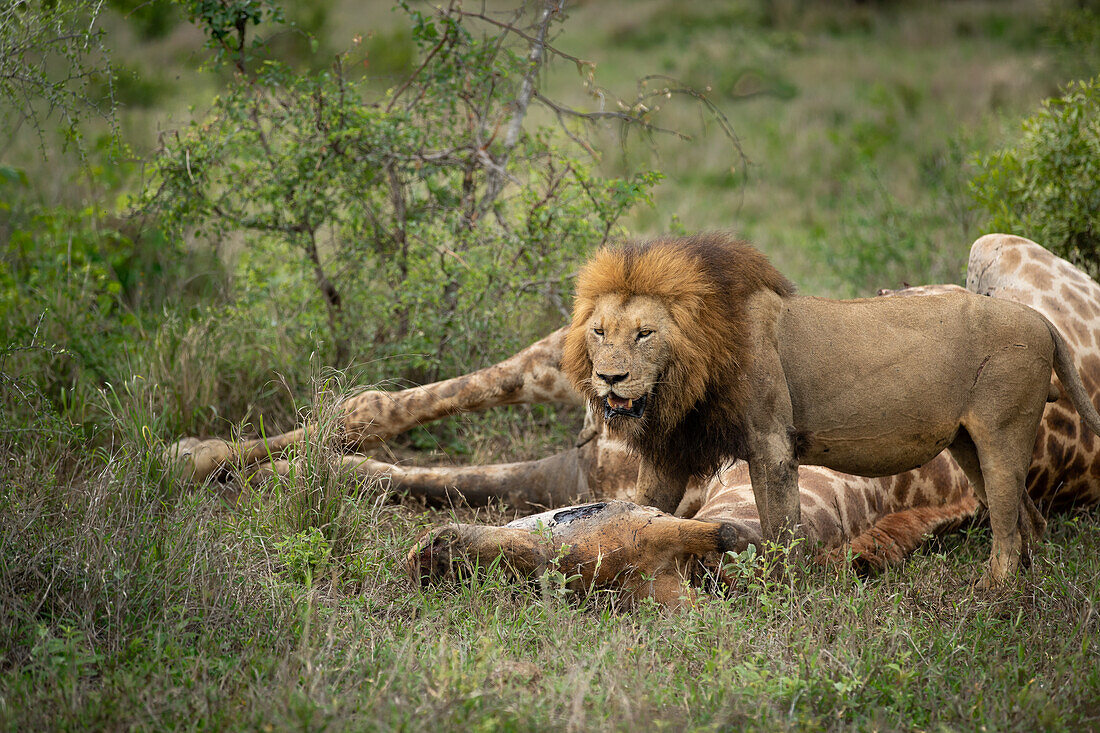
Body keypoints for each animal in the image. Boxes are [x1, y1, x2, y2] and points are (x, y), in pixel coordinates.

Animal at [563, 231, 1100, 585]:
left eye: (644, 333)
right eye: (599, 332)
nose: (610, 377)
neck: (688, 372)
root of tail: (1039, 320)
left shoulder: (771, 443)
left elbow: (781, 525)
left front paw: (784, 592)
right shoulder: (672, 453)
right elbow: (643, 507)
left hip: (1000, 433)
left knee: (1007, 522)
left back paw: (995, 590)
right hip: (968, 444)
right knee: (1028, 519)